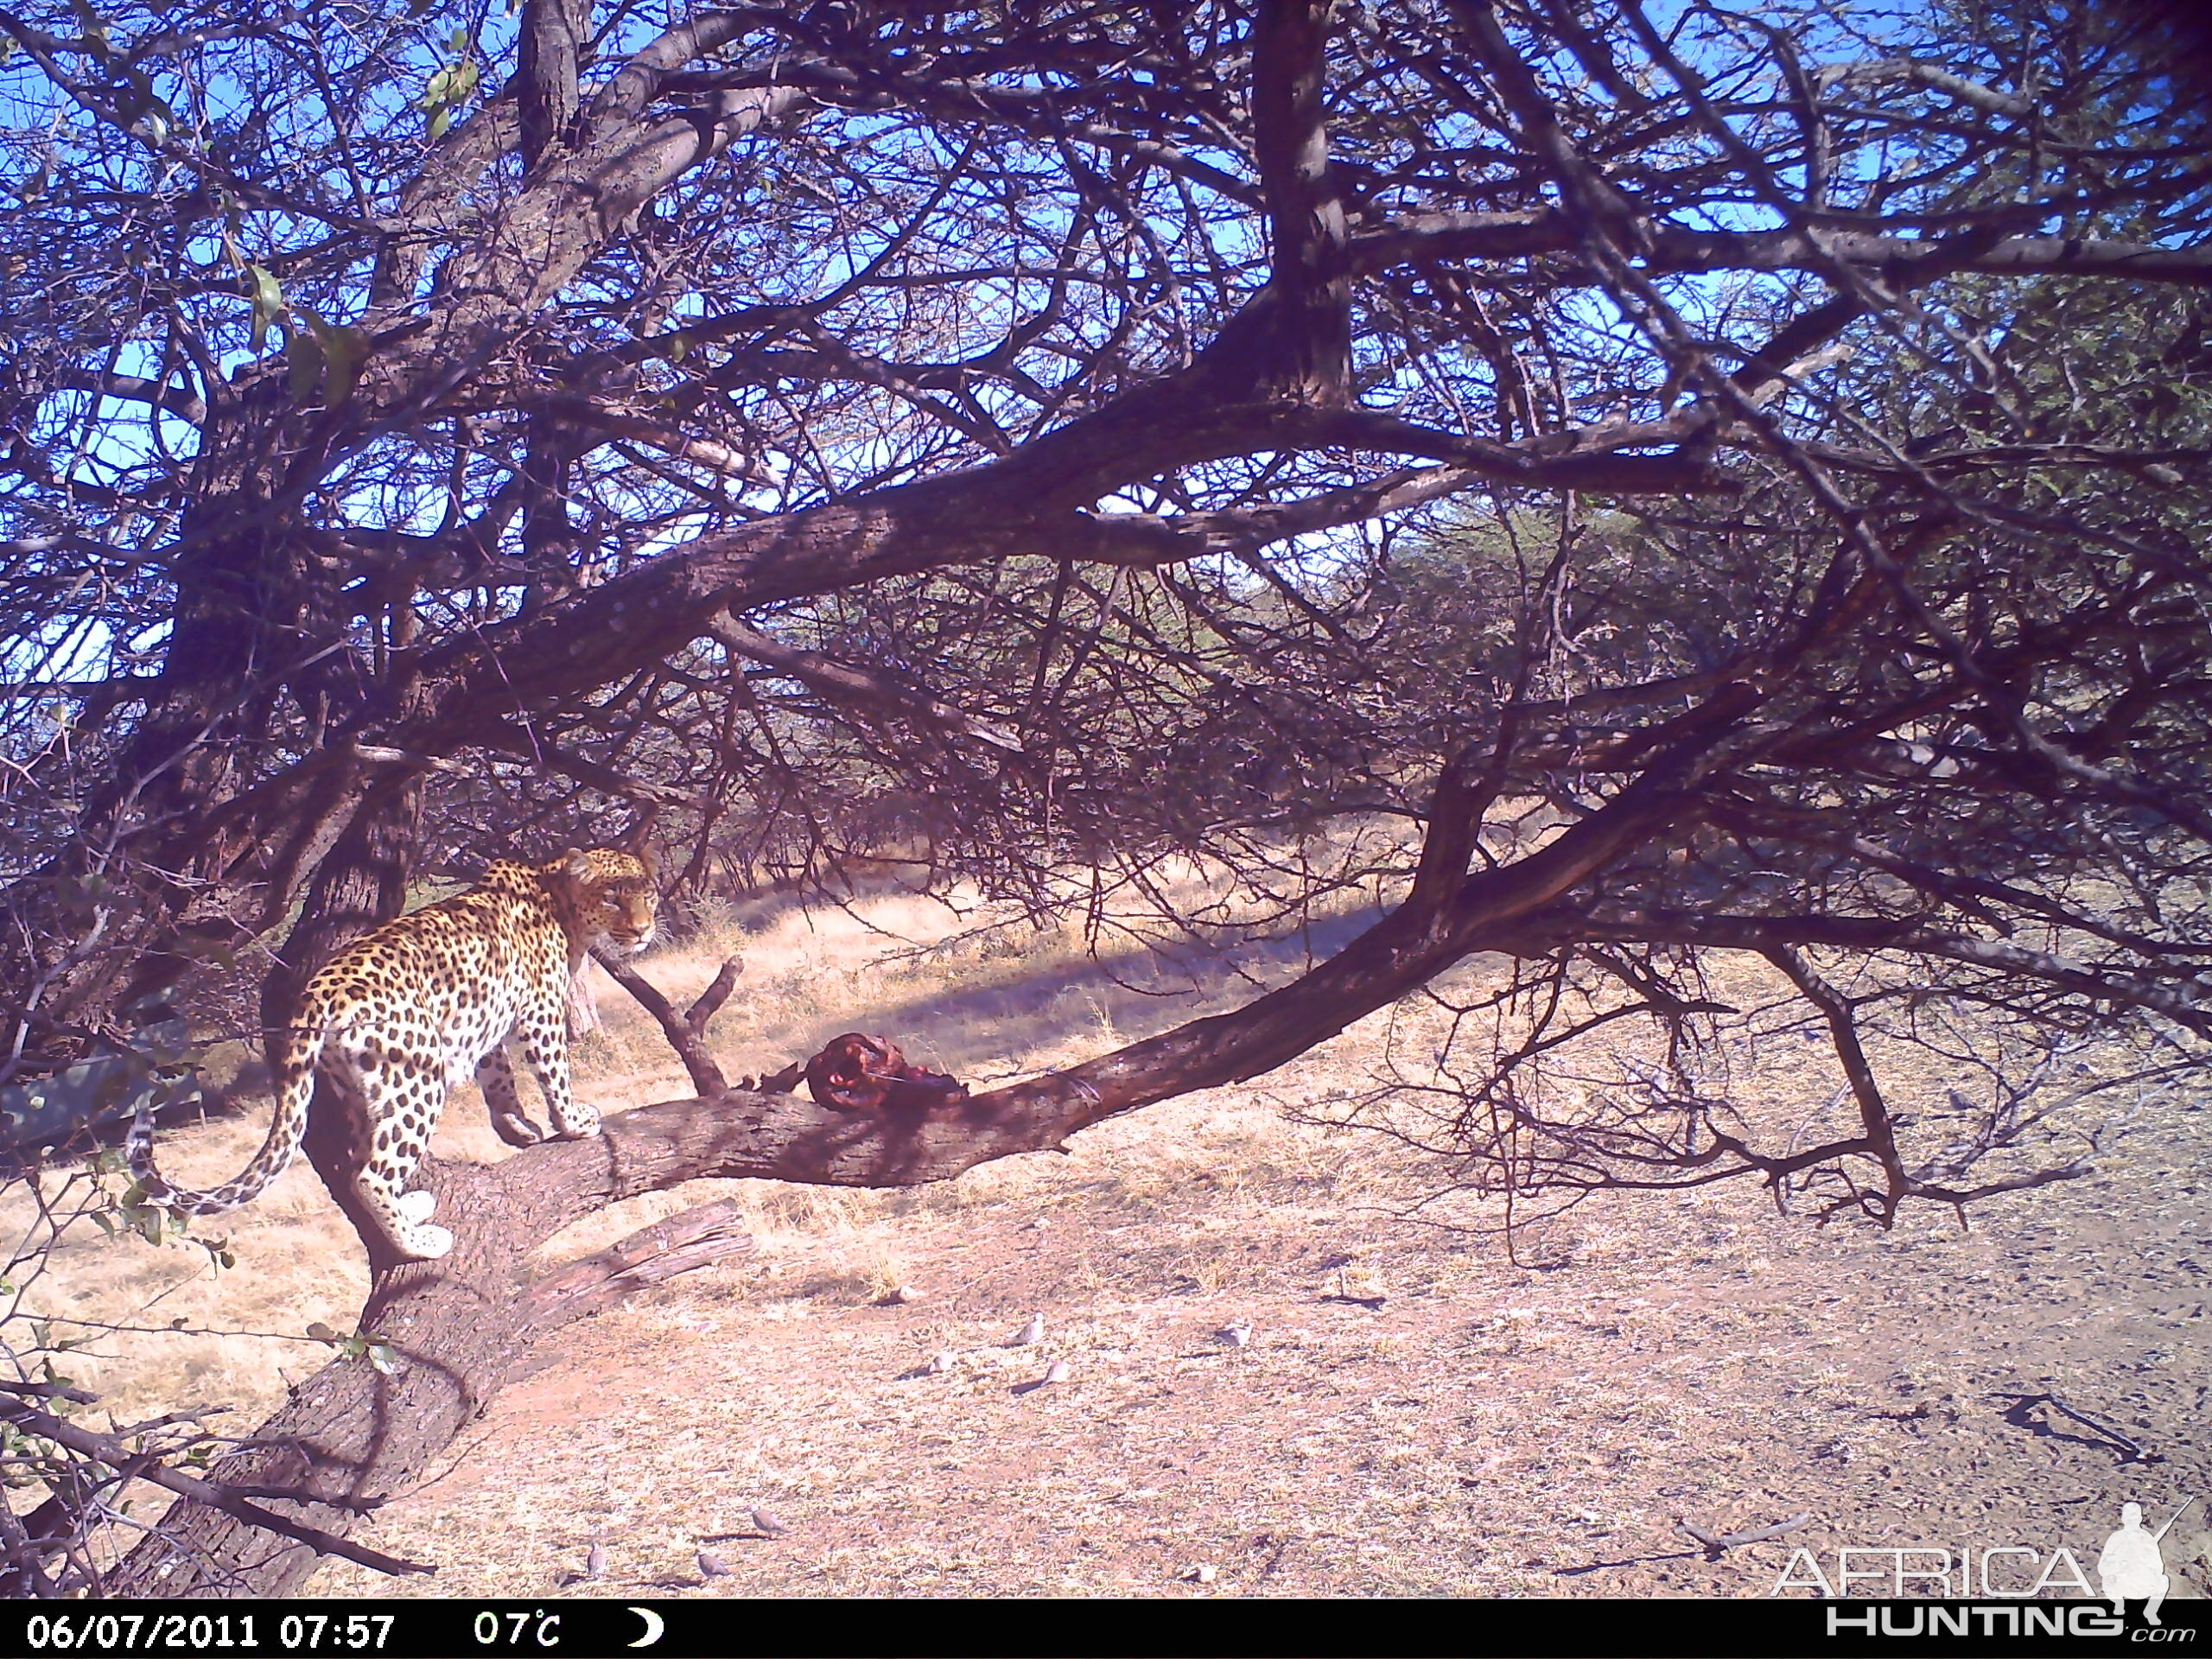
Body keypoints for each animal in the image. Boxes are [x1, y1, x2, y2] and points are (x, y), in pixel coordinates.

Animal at [127, 849, 654, 1265]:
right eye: (612, 897)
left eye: (647, 894)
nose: (643, 930)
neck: (560, 901)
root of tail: (315, 994)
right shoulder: (540, 1010)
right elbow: (553, 1072)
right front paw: (574, 1122)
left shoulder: (482, 1020)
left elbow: (498, 1076)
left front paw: (517, 1127)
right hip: (416, 1077)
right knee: (369, 1176)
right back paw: (420, 1244)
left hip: (362, 1086)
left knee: (358, 1162)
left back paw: (412, 1208)